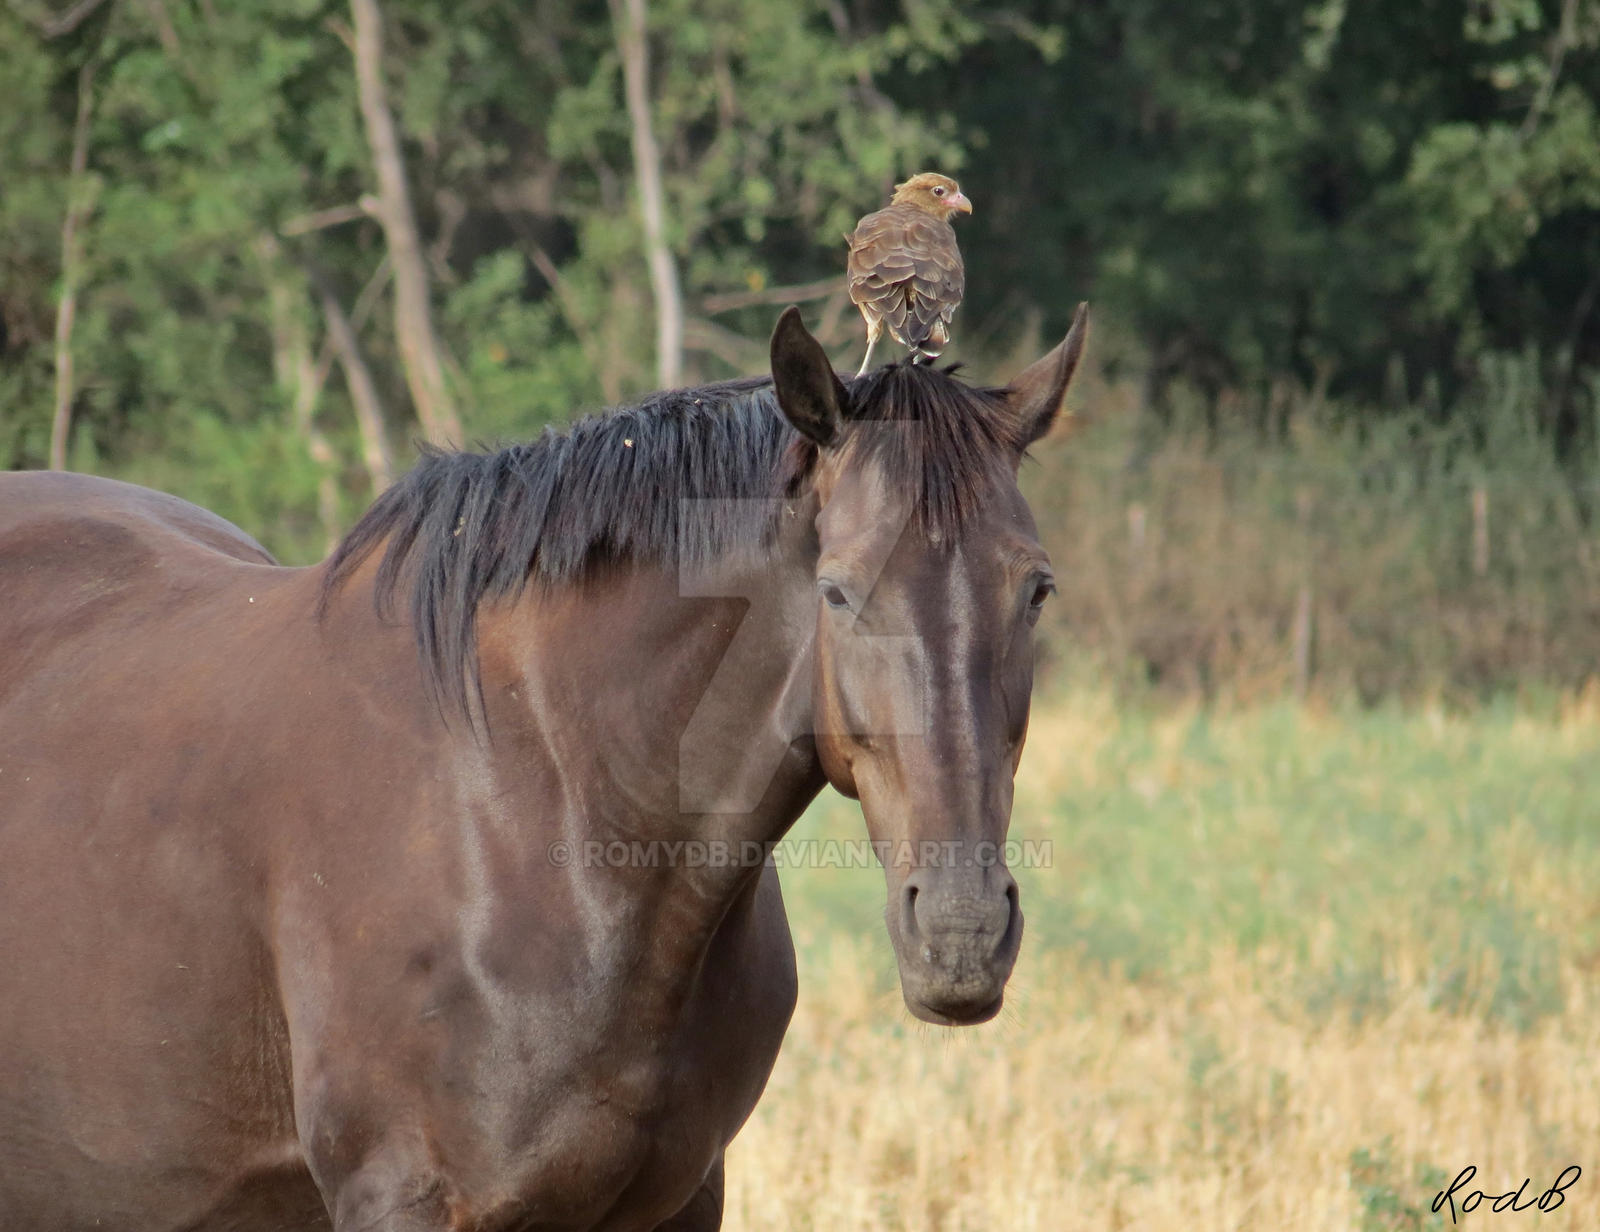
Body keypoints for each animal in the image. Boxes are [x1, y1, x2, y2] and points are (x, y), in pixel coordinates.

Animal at [0, 300, 1088, 1228]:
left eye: (1037, 589)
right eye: (838, 591)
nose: (960, 932)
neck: (547, 804)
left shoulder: (680, 1200)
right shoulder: (404, 1197)